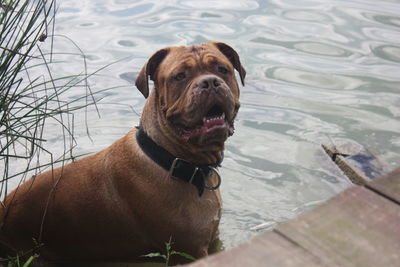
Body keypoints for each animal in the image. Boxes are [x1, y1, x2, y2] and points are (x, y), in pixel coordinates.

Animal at [0, 42, 245, 266]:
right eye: (179, 76)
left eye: (222, 69)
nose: (210, 82)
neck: (173, 158)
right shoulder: (187, 251)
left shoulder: (213, 241)